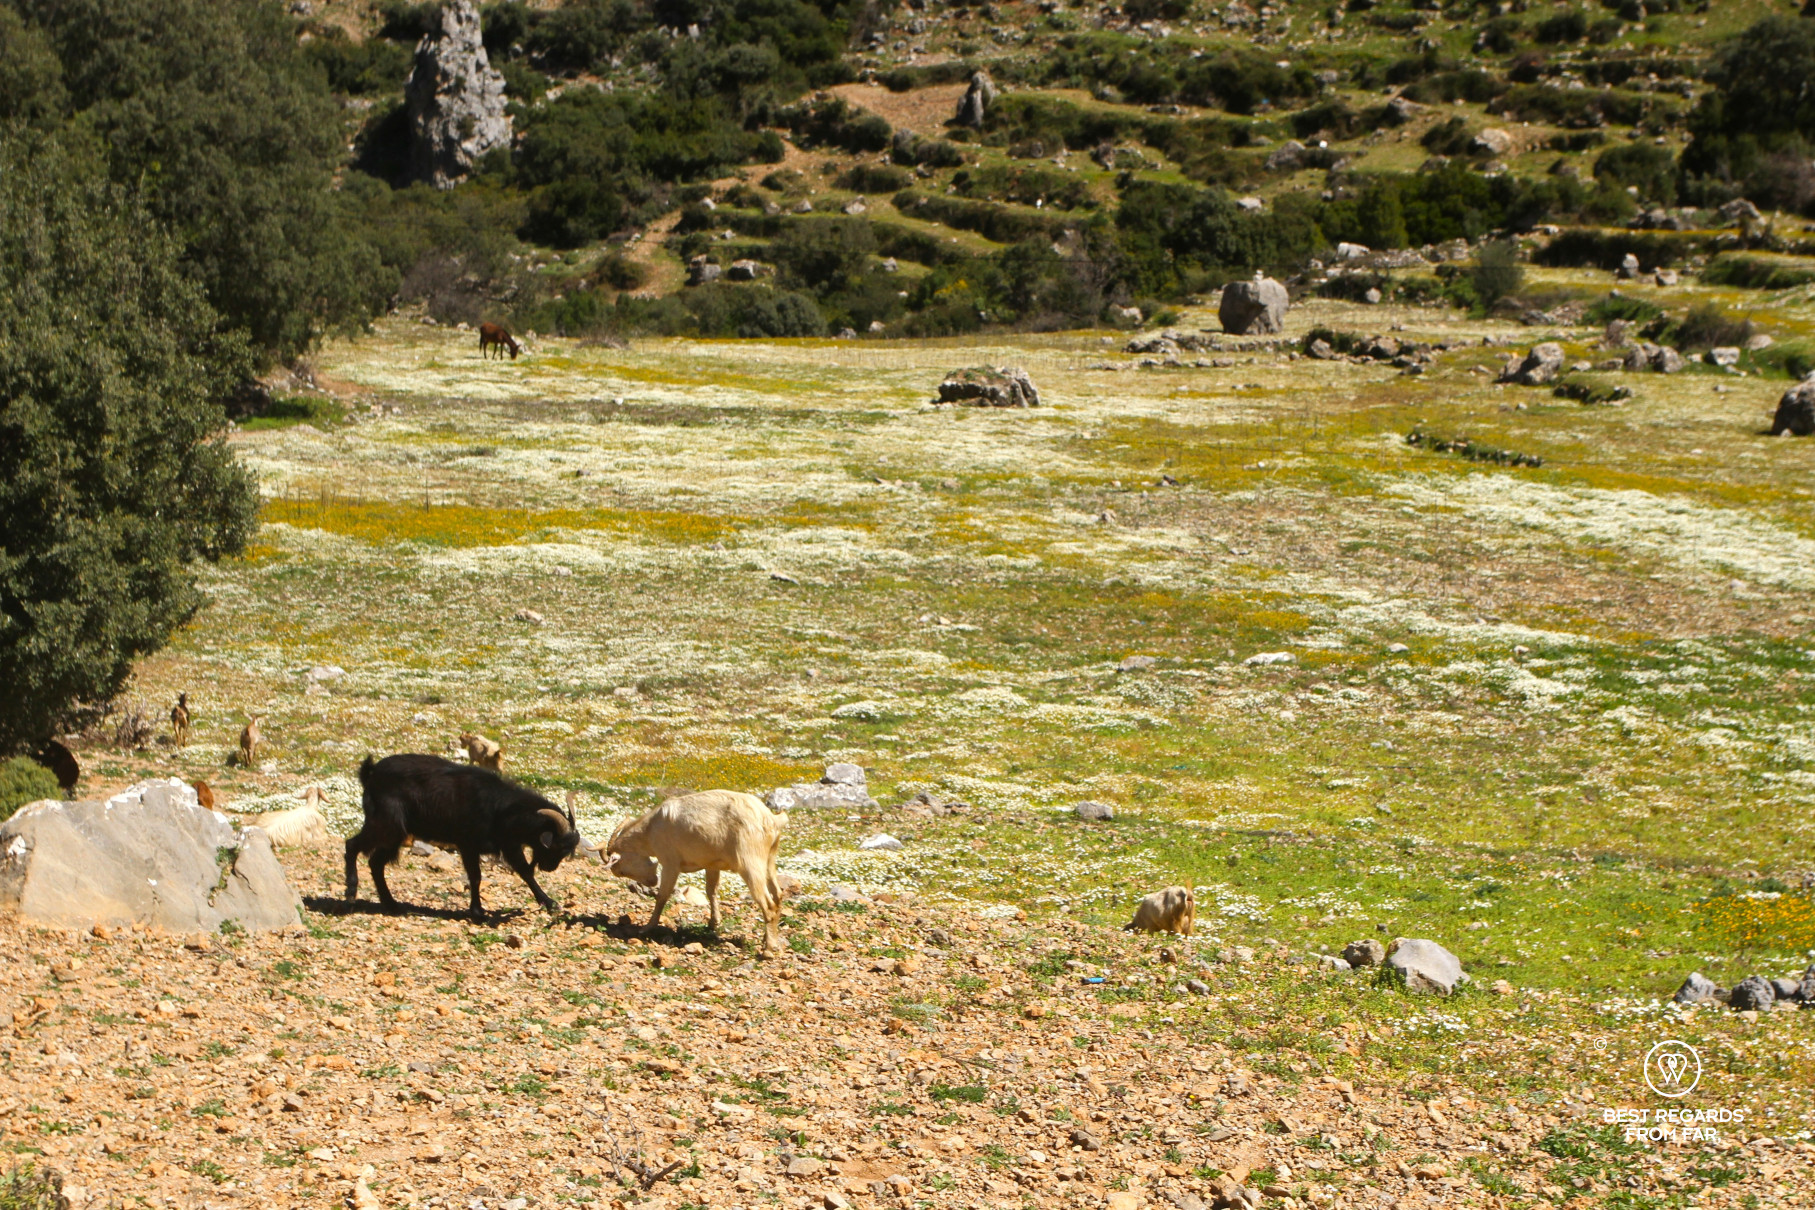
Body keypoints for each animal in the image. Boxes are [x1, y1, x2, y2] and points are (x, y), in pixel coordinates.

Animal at [346, 753, 580, 917]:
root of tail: (371, 773)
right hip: (386, 824)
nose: (550, 868)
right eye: (557, 846)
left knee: (376, 863)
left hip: (395, 835)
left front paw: (550, 903)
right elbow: (475, 876)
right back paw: (351, 892)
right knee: (352, 845)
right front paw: (477, 911)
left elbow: (525, 872)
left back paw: (391, 904)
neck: (500, 808)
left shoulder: (508, 844)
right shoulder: (468, 844)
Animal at [605, 790, 788, 952]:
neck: (651, 829)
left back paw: (769, 949)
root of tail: (771, 819)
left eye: (620, 871)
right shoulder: (712, 864)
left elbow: (662, 896)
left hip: (750, 862)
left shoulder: (670, 863)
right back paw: (767, 939)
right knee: (777, 895)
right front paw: (713, 923)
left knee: (768, 903)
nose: (652, 882)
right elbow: (711, 891)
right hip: (769, 859)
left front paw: (647, 927)